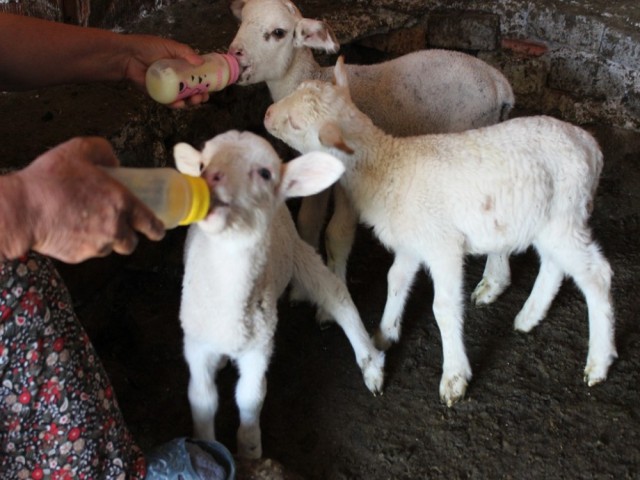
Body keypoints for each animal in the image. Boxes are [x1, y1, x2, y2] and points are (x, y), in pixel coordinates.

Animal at [175, 130, 384, 458]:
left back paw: (370, 362)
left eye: (265, 173)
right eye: (200, 166)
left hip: (297, 252)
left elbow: (250, 396)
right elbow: (202, 398)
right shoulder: (197, 345)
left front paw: (249, 449)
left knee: (336, 294)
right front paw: (206, 445)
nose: (210, 177)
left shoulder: (260, 347)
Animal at [226, 0, 516, 302]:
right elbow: (307, 222)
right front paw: (304, 288)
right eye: (242, 21)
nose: (235, 52)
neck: (310, 77)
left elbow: (337, 233)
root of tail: (500, 85)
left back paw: (491, 285)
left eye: (278, 33)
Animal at [262, 58, 616, 406]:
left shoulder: (443, 246)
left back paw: (598, 362)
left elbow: (443, 308)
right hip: (545, 220)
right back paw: (529, 317)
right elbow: (395, 280)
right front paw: (385, 333)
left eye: (295, 123)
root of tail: (591, 145)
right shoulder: (412, 242)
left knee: (596, 274)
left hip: (566, 213)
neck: (388, 166)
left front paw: (454, 377)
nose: (266, 114)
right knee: (555, 265)